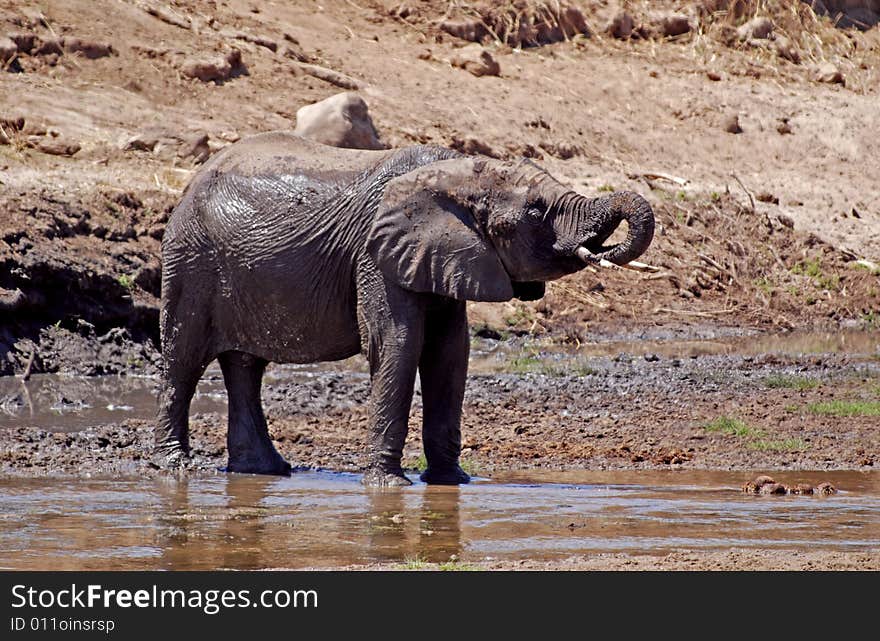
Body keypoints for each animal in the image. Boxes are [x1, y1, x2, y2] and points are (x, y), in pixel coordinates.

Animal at [158, 132, 652, 488]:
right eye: (536, 211)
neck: (452, 173)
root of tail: (191, 183)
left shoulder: (445, 258)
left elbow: (449, 353)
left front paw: (453, 482)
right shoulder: (375, 255)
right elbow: (397, 343)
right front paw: (388, 487)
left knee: (246, 367)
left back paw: (266, 471)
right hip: (189, 260)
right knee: (182, 360)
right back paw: (177, 468)